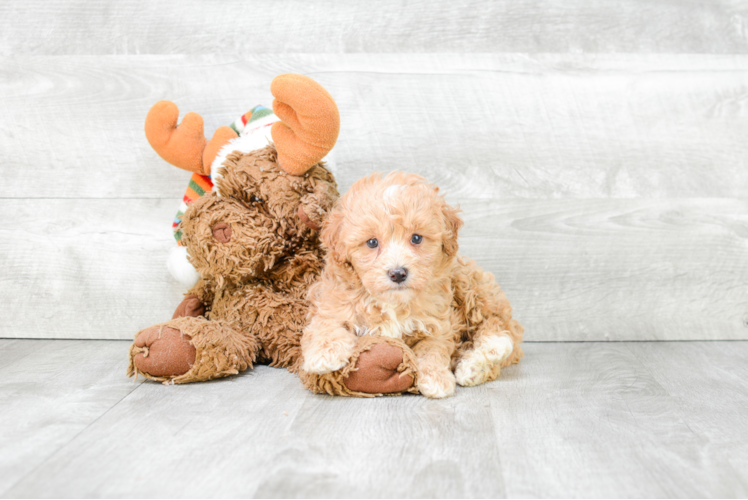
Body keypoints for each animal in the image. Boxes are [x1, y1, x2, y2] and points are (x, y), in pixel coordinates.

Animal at [300, 172, 524, 398]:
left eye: (416, 238)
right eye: (372, 242)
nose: (398, 273)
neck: (393, 302)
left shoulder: (439, 322)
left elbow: (432, 348)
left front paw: (436, 379)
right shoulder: (332, 301)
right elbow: (325, 324)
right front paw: (323, 355)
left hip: (471, 284)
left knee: (495, 323)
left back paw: (491, 350)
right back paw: (472, 368)